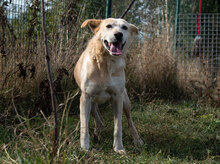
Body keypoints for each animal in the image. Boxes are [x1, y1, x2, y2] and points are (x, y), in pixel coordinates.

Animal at [73, 18, 143, 154]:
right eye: (108, 26)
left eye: (124, 27)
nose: (118, 34)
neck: (106, 62)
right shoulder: (85, 98)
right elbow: (84, 126)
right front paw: (84, 147)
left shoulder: (117, 98)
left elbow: (118, 127)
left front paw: (119, 148)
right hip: (91, 104)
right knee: (99, 120)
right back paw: (96, 134)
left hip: (125, 102)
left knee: (130, 121)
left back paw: (137, 140)